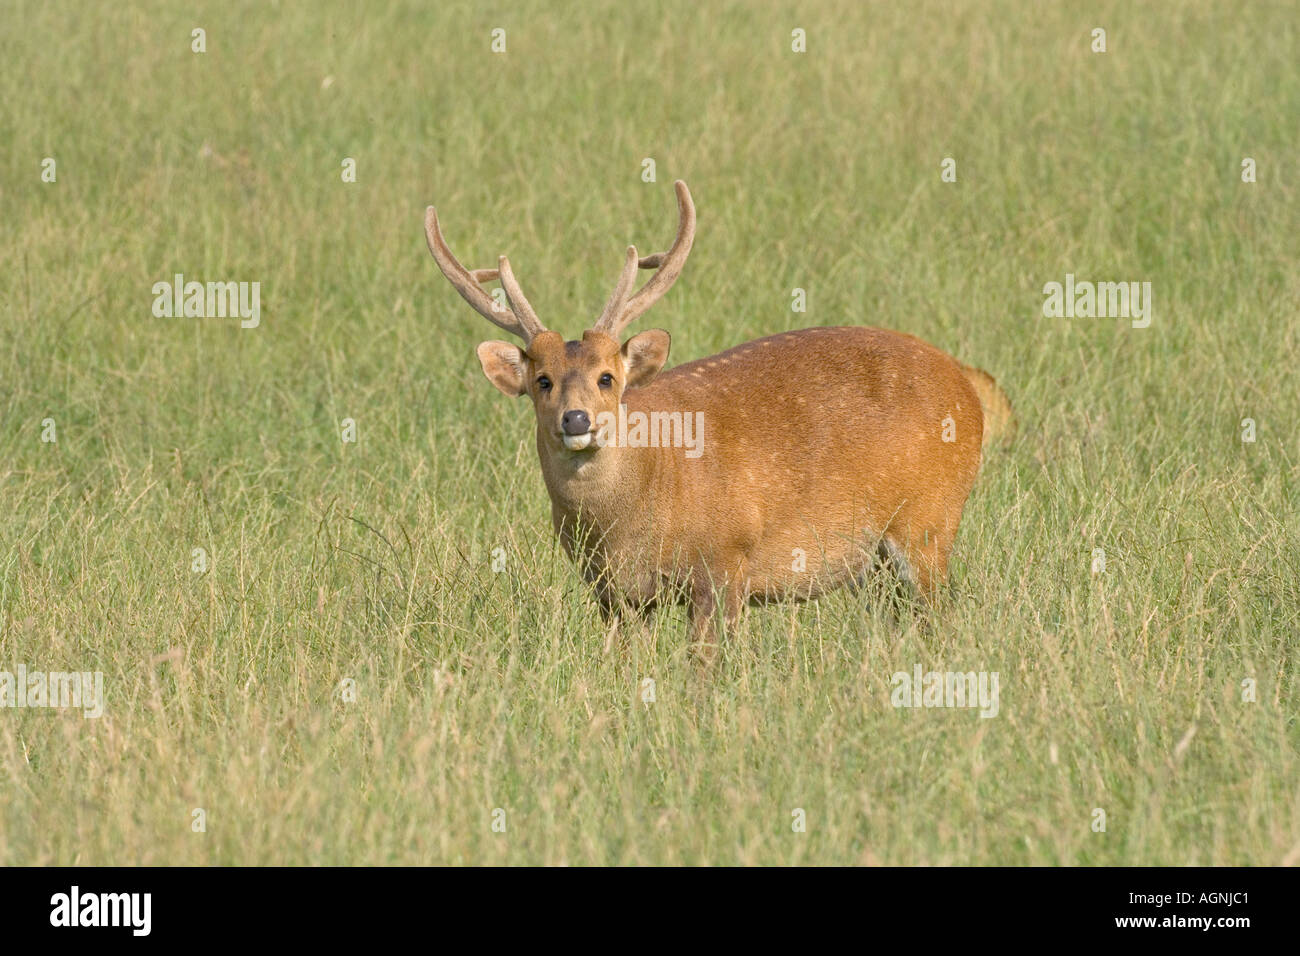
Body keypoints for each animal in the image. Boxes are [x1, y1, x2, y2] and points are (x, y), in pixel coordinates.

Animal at [426, 182, 1013, 655]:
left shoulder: (727, 561)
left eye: (607, 378)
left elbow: (704, 670)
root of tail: (968, 383)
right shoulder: (614, 594)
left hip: (929, 521)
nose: (576, 420)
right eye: (541, 380)